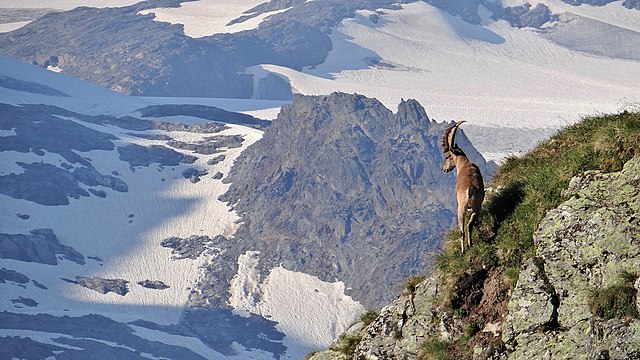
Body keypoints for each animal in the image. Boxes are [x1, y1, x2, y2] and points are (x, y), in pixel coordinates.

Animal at [440, 120, 484, 253]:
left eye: (447, 156)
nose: (443, 168)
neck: (464, 164)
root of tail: (470, 189)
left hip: (461, 209)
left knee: (462, 230)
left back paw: (463, 251)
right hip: (477, 206)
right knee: (470, 225)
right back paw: (471, 244)